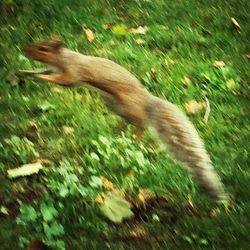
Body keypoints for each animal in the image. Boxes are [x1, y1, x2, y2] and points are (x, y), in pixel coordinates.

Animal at [18, 38, 228, 202]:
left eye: (43, 49)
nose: (25, 49)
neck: (65, 58)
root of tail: (147, 101)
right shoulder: (51, 68)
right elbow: (41, 71)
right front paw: (26, 73)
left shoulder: (73, 73)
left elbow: (62, 81)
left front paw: (41, 79)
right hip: (116, 107)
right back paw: (118, 131)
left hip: (129, 108)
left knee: (141, 125)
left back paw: (134, 138)